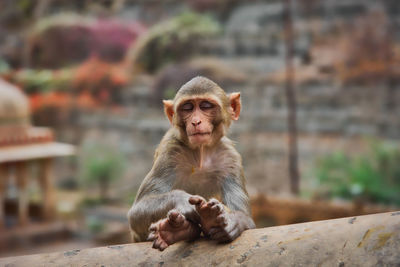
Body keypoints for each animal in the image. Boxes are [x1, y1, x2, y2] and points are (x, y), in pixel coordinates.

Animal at [126, 76, 255, 251]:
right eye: (187, 108)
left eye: (206, 106)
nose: (196, 121)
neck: (200, 154)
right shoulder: (169, 152)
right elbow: (137, 211)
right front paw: (183, 201)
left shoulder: (231, 160)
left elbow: (248, 219)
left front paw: (233, 221)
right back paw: (176, 231)